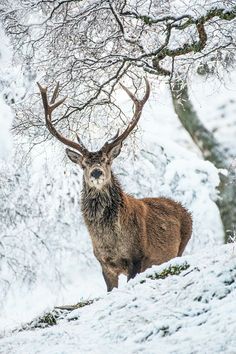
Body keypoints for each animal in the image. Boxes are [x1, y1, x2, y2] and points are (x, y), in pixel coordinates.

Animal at [37, 79, 192, 290]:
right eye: (83, 164)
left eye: (107, 161)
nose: (96, 172)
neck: (111, 241)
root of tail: (184, 210)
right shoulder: (104, 264)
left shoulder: (137, 257)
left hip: (181, 247)